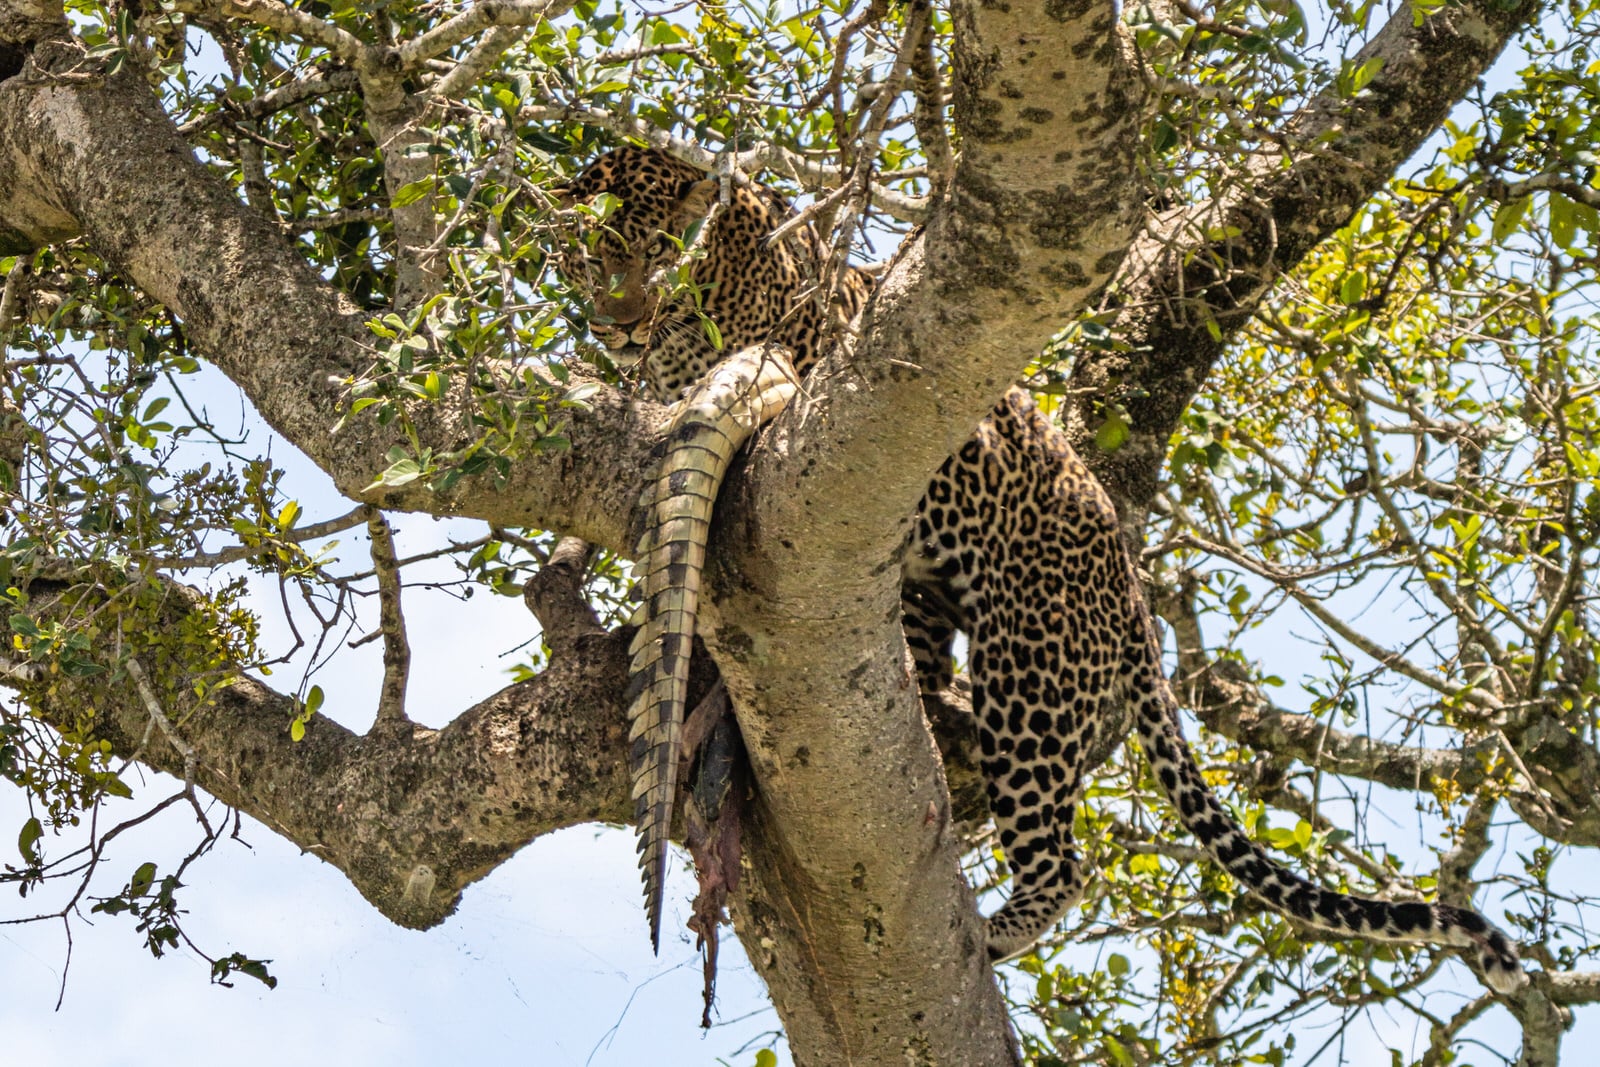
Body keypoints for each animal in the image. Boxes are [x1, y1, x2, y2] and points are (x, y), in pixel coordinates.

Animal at [556, 144, 1526, 994]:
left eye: (657, 253)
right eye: (589, 259)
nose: (619, 321)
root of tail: (1128, 582)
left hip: (1031, 674)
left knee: (1065, 857)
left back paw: (997, 927)